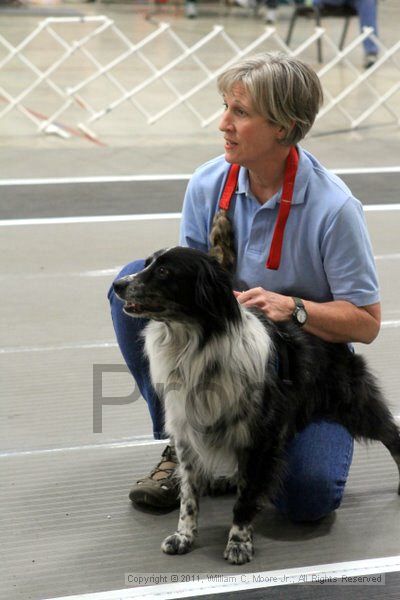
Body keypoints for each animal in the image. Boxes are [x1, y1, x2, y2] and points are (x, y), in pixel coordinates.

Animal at [112, 246, 400, 564]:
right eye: (148, 264)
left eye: (164, 271)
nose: (118, 285)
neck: (195, 343)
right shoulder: (187, 434)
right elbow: (189, 497)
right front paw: (184, 537)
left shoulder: (261, 438)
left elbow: (247, 496)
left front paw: (238, 542)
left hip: (356, 405)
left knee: (393, 435)